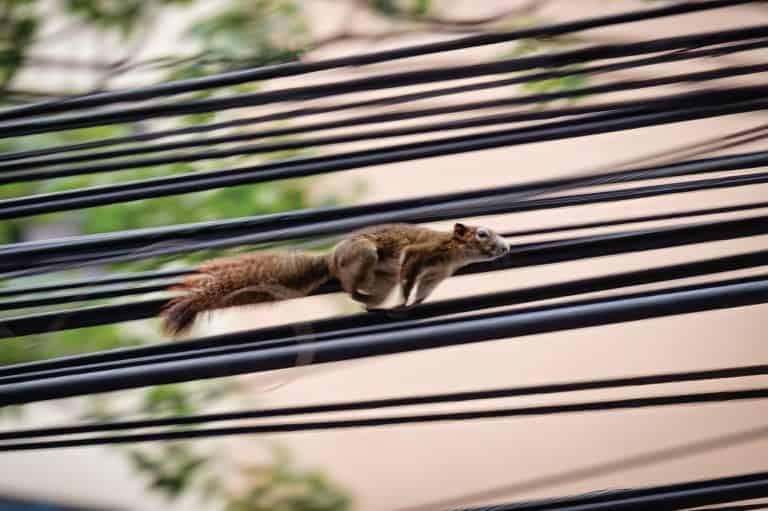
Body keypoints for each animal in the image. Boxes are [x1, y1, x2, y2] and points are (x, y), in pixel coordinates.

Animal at [161, 222, 510, 336]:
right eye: (482, 234)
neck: (452, 255)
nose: (506, 247)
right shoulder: (420, 252)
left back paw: (372, 305)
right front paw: (404, 301)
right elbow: (409, 270)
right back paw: (361, 296)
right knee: (348, 285)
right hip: (364, 254)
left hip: (380, 281)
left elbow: (424, 289)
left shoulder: (436, 275)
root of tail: (329, 257)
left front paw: (414, 303)